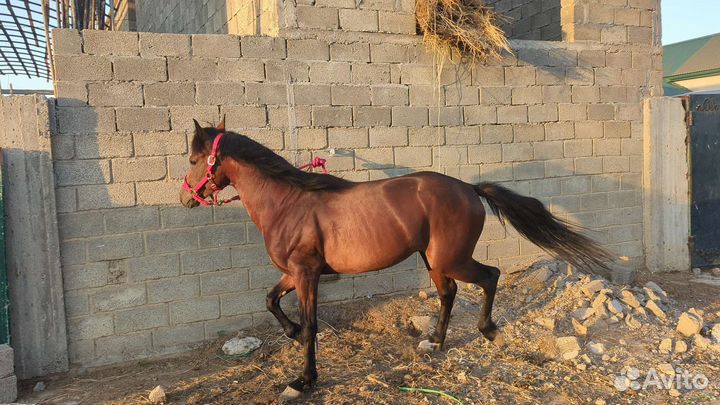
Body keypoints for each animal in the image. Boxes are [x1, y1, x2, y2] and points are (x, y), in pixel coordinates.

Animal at [180, 118, 611, 400]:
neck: (289, 202)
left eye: (193, 159)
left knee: (489, 276)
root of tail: (469, 189)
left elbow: (310, 324)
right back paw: (435, 342)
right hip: (433, 261)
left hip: (451, 259)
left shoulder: (306, 274)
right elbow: (270, 301)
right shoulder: (294, 274)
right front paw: (291, 334)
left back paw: (489, 331)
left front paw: (302, 380)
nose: (186, 198)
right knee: (449, 293)